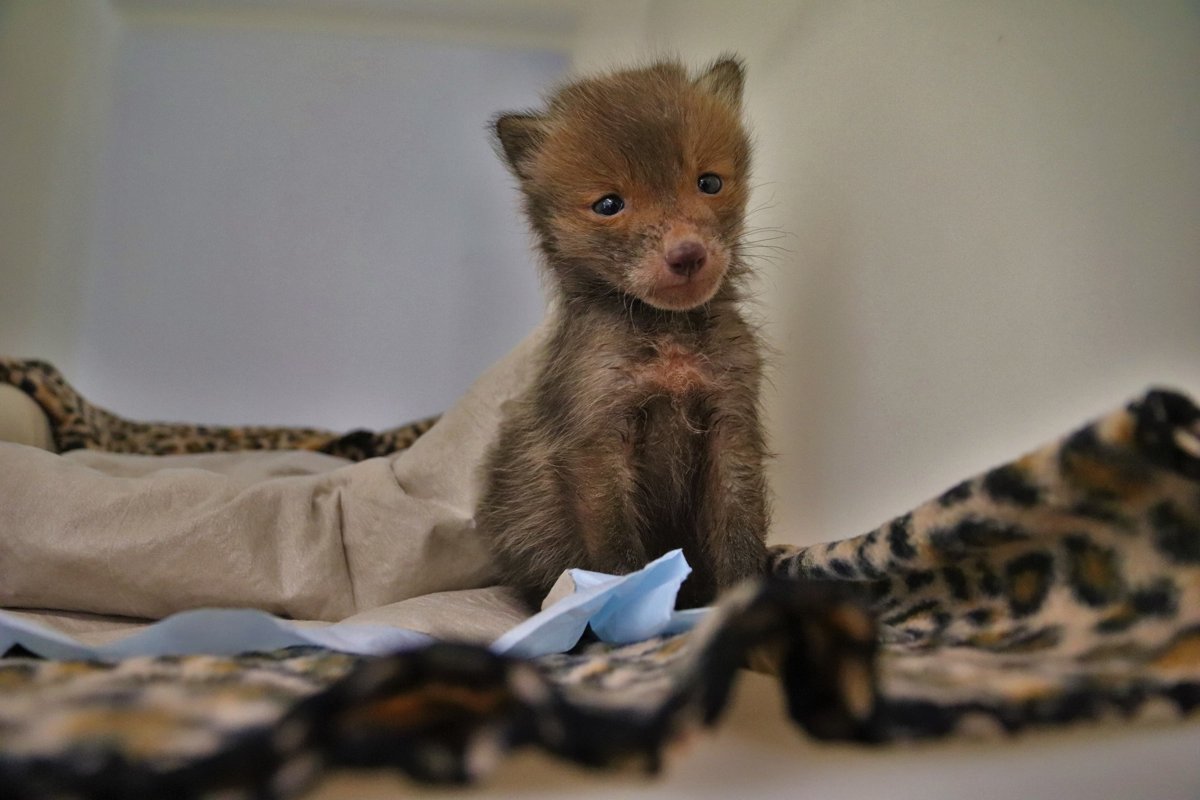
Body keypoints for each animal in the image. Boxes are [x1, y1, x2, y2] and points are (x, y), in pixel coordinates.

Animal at [477, 57, 768, 606]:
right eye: (609, 205)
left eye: (709, 183)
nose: (687, 254)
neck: (669, 340)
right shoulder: (596, 440)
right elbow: (616, 555)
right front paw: (622, 606)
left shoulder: (731, 423)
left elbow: (741, 534)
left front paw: (741, 598)